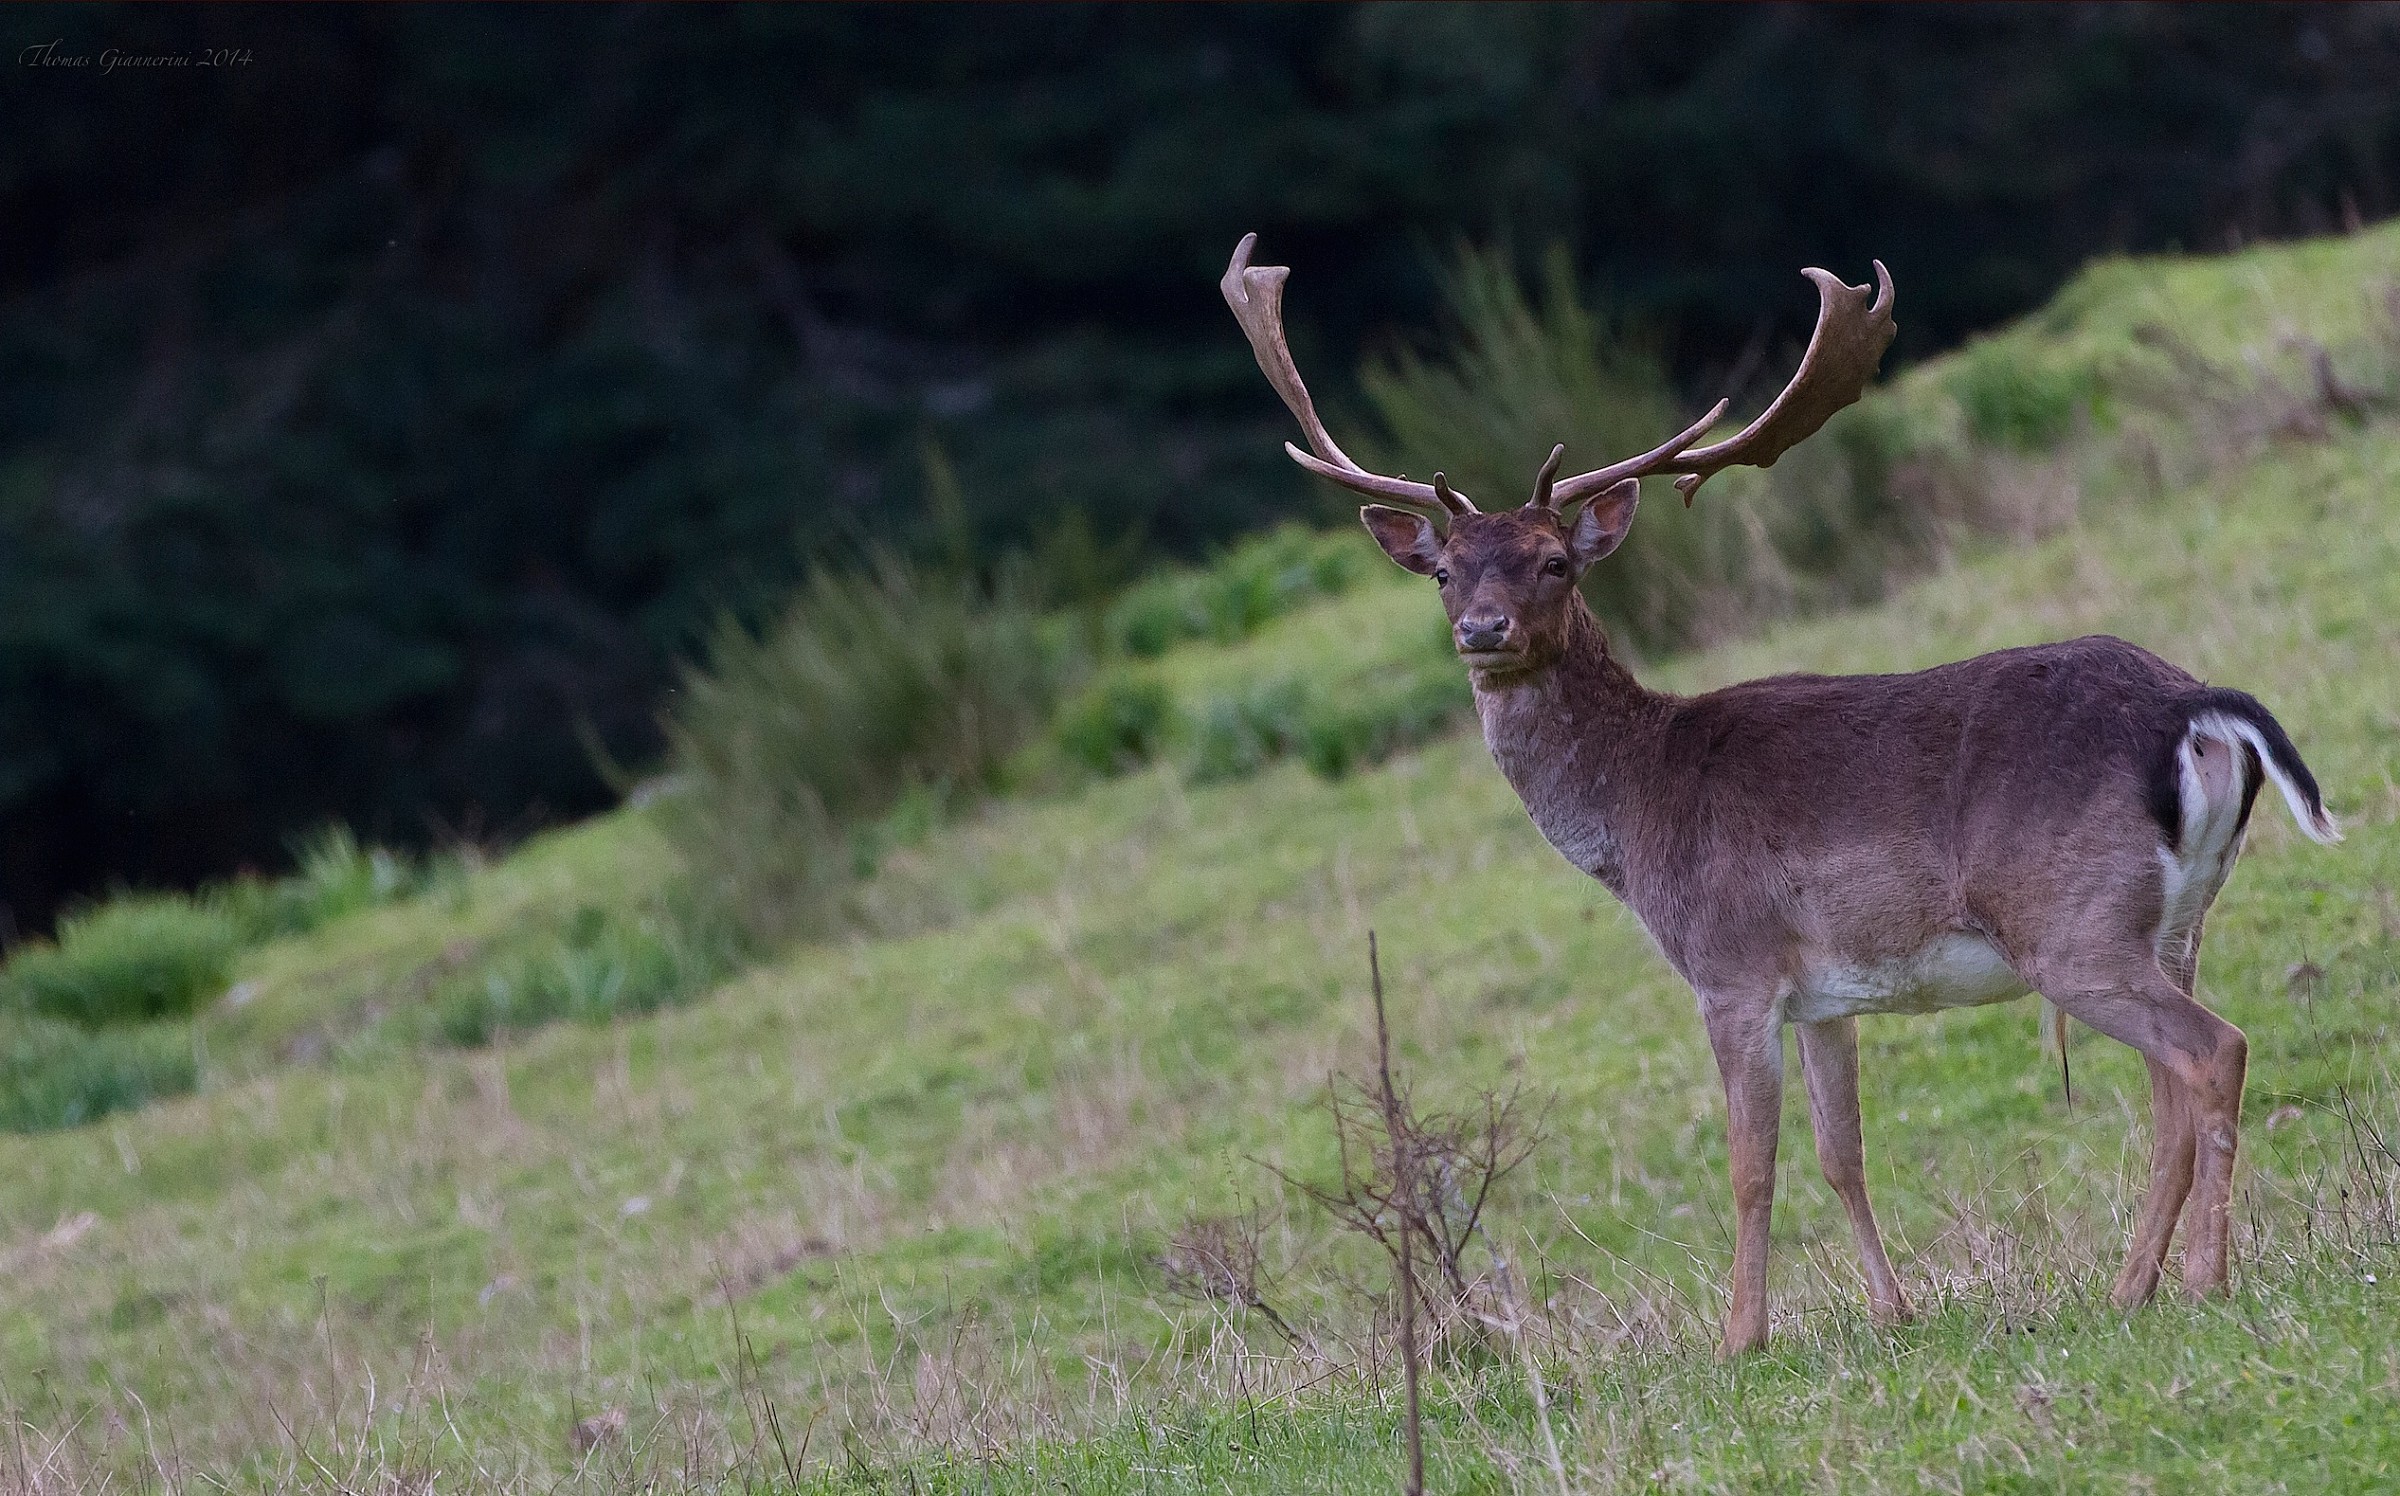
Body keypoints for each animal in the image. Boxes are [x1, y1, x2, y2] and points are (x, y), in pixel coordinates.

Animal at [1222, 233, 2341, 1355]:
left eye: (1553, 562)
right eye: (1445, 570)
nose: (1483, 630)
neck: (1637, 814)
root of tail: (2196, 707)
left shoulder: (1732, 967)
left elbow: (1751, 1165)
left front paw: (1740, 1336)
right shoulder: (1825, 993)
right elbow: (1843, 1151)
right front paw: (1892, 1309)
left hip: (2070, 922)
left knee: (2215, 1050)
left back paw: (2199, 1279)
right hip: (2176, 917)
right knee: (2172, 1086)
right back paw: (2135, 1285)